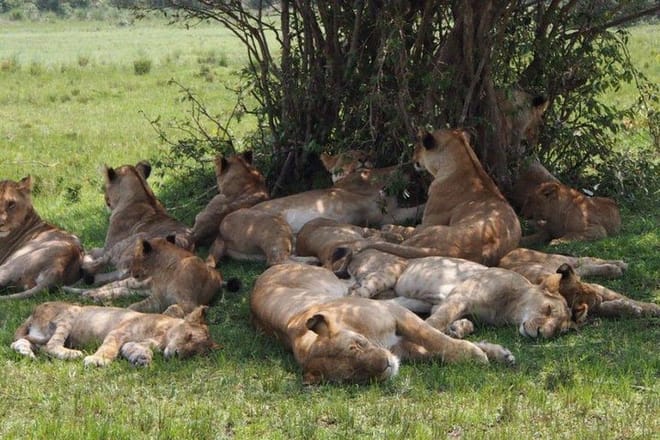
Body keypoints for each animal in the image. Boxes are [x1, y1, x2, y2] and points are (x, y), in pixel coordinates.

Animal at [11, 301, 218, 366]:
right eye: (189, 336)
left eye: (193, 353)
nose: (176, 354)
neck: (163, 335)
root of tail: (33, 312)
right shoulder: (119, 331)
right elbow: (109, 348)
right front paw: (97, 360)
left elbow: (131, 348)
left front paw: (141, 358)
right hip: (71, 312)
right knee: (50, 346)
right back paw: (73, 354)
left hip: (38, 335)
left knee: (22, 343)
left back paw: (26, 353)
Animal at [66, 235, 240, 313]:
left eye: (136, 258)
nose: (130, 270)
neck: (165, 273)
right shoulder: (156, 299)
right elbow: (134, 306)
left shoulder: (188, 304)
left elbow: (171, 309)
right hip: (135, 283)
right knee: (111, 285)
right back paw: (85, 293)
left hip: (138, 289)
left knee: (119, 290)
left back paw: (94, 297)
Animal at [250, 263, 515, 384]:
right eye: (355, 375)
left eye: (358, 344)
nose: (386, 365)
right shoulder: (401, 346)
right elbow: (435, 349)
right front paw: (492, 353)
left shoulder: (396, 315)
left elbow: (434, 337)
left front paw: (478, 354)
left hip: (336, 285)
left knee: (357, 284)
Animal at [360, 129, 521, 266]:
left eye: (418, 147)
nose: (412, 159)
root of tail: (455, 252)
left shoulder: (428, 222)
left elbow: (408, 229)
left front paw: (389, 228)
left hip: (431, 229)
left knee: (404, 240)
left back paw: (382, 231)